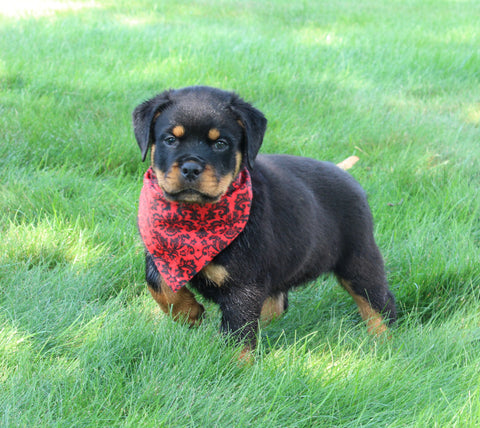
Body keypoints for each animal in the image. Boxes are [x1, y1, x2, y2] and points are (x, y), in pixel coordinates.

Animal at [132, 85, 398, 350]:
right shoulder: (159, 250)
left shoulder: (244, 284)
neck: (194, 218)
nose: (190, 168)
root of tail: (345, 174)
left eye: (220, 144)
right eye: (170, 140)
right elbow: (157, 283)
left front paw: (233, 360)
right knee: (277, 304)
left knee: (378, 302)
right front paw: (189, 314)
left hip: (359, 256)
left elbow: (238, 333)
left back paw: (384, 342)